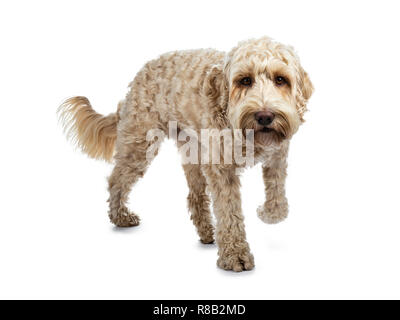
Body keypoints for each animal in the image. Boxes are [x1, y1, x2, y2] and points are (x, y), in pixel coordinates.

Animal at [58, 36, 312, 272]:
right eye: (245, 80)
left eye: (281, 79)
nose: (264, 116)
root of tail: (139, 76)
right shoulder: (221, 169)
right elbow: (229, 212)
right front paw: (235, 255)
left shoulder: (277, 157)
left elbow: (279, 202)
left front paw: (267, 213)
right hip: (139, 145)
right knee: (116, 180)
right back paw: (120, 216)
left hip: (192, 154)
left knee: (195, 196)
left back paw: (207, 232)